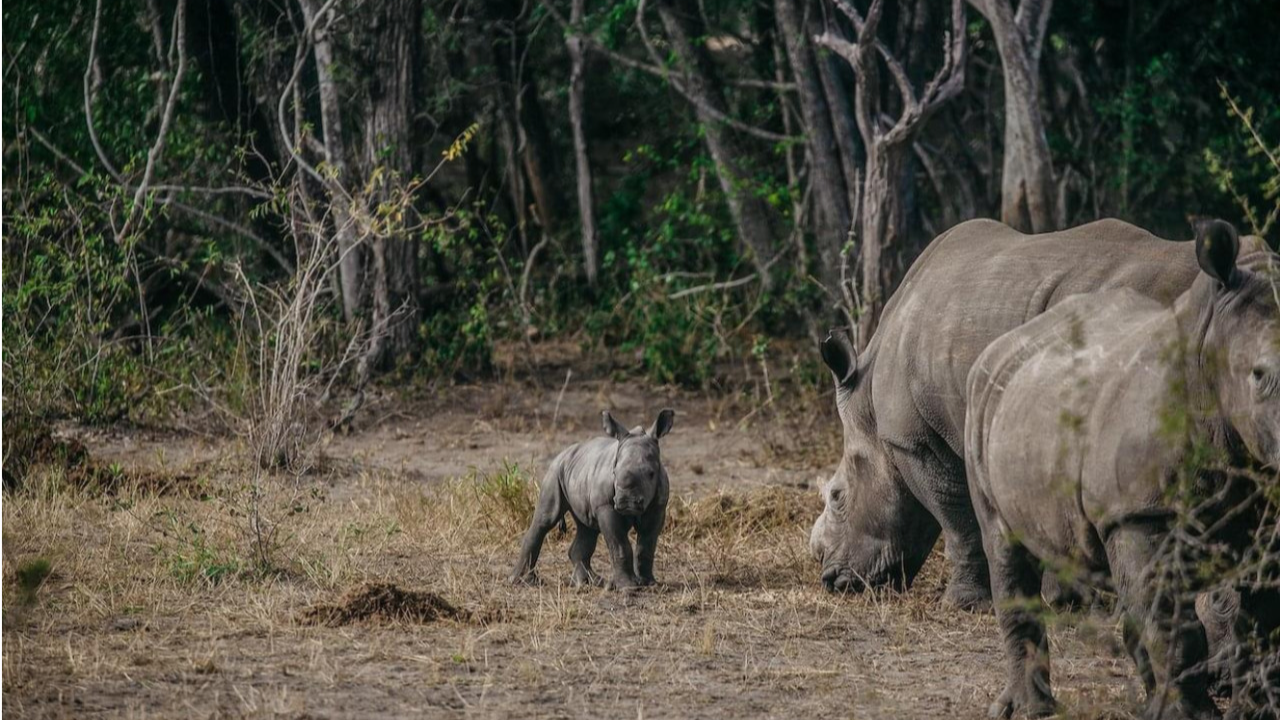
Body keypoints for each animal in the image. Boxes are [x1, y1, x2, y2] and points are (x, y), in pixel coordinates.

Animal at [509, 409, 674, 590]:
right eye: (614, 473)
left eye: (651, 474)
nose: (626, 502)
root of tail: (563, 452)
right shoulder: (606, 506)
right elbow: (620, 546)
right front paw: (628, 588)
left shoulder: (659, 506)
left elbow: (647, 546)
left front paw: (649, 584)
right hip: (554, 472)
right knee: (545, 520)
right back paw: (524, 582)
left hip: (578, 473)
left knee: (587, 528)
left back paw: (589, 583)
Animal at [811, 218, 1210, 608]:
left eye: (837, 496)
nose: (830, 579)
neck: (868, 406)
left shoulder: (914, 439)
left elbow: (956, 516)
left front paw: (965, 603)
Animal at [964, 219, 1279, 719]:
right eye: (1259, 376)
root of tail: (1006, 341)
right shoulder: (1142, 512)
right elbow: (1176, 626)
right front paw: (1194, 717)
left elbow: (1261, 625)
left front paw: (1251, 713)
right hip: (981, 399)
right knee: (1004, 543)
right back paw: (1031, 709)